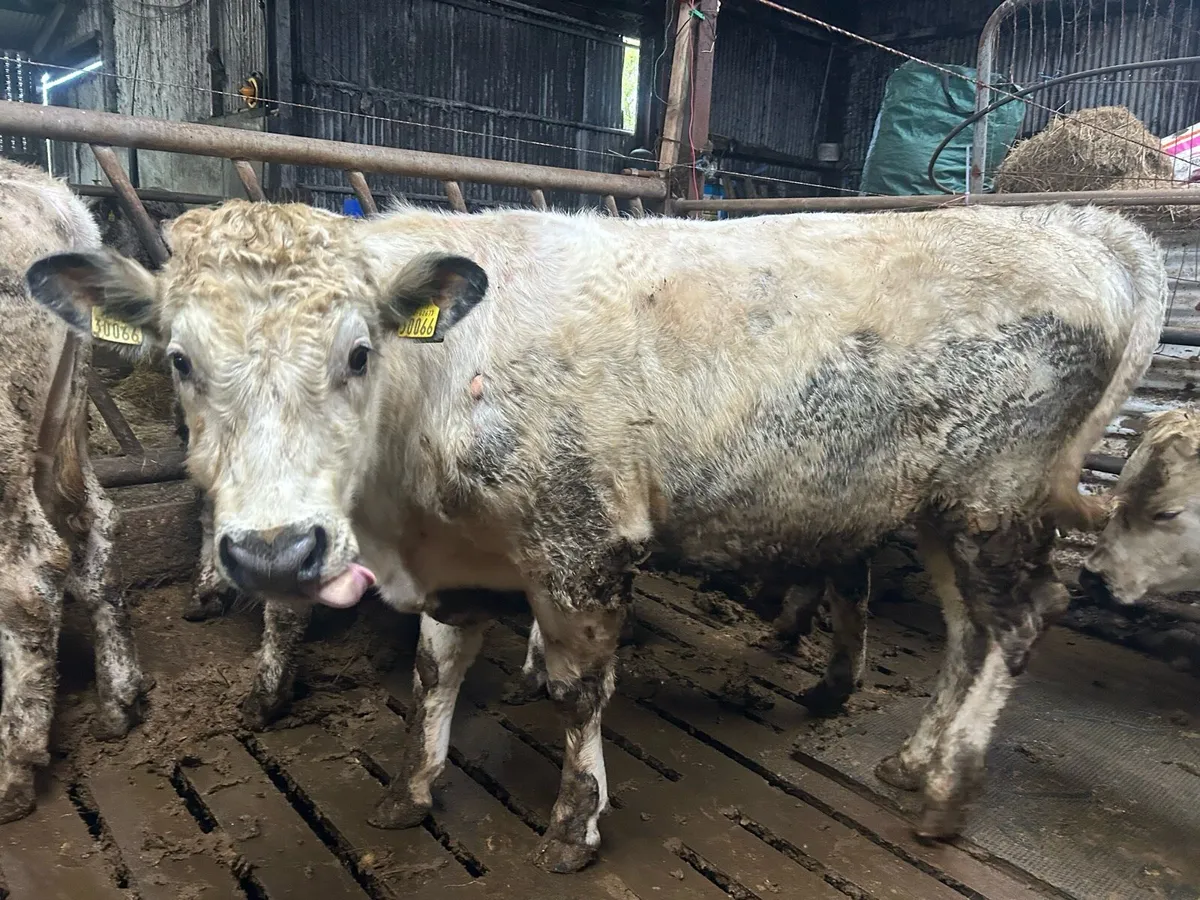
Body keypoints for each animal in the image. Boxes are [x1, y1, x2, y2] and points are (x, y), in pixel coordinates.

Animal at [25, 199, 1165, 870]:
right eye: (179, 360)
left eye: (357, 352)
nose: (273, 553)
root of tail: (1086, 224)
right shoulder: (460, 559)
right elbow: (436, 670)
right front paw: (414, 789)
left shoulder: (581, 540)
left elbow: (579, 690)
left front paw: (574, 824)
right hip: (938, 509)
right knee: (967, 634)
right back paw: (913, 763)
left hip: (998, 501)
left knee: (1017, 625)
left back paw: (949, 793)